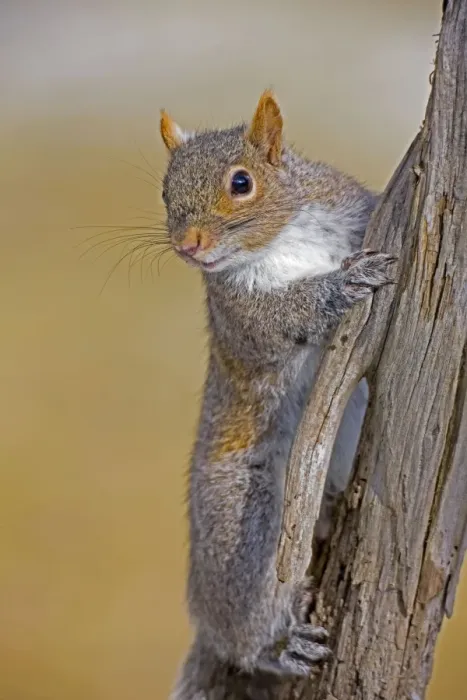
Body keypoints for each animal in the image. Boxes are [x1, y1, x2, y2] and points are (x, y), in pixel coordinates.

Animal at [159, 91, 396, 699]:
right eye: (165, 193)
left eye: (242, 182)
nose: (188, 246)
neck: (280, 240)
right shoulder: (242, 317)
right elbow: (286, 316)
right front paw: (341, 285)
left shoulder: (352, 206)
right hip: (246, 528)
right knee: (246, 622)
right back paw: (277, 647)